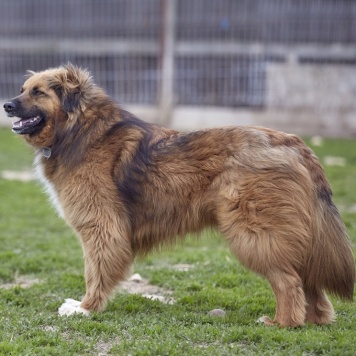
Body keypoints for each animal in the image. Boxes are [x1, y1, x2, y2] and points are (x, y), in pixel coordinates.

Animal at [2, 63, 354, 326]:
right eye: (22, 89)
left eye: (38, 92)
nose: (6, 105)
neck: (78, 129)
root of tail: (292, 141)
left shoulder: (101, 228)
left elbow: (95, 272)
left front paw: (85, 308)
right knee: (310, 282)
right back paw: (314, 320)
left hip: (256, 233)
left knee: (289, 282)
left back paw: (282, 323)